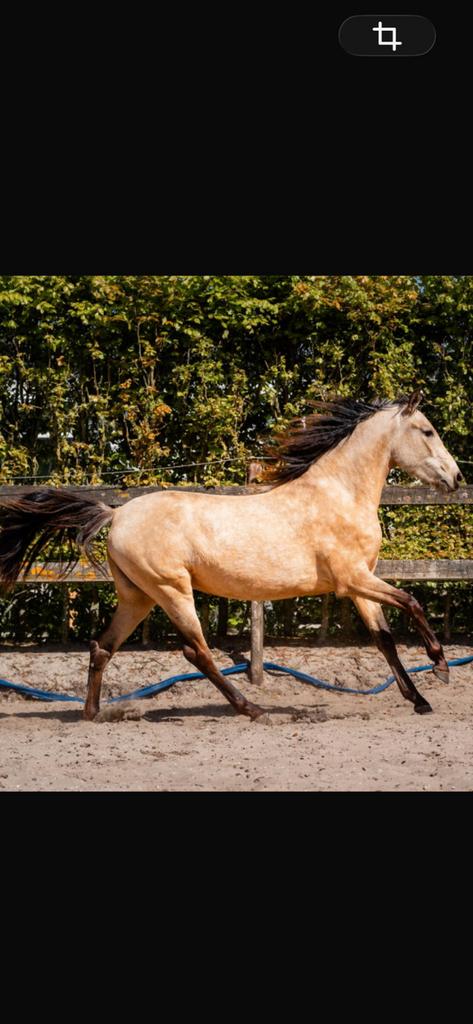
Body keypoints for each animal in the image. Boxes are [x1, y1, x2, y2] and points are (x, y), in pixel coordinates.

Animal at [0, 389, 463, 721]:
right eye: (427, 431)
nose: (456, 478)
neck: (339, 494)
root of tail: (116, 513)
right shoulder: (352, 580)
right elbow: (412, 602)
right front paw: (440, 666)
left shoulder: (362, 583)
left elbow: (384, 639)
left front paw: (419, 700)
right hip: (171, 589)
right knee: (198, 653)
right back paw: (253, 709)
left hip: (138, 596)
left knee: (102, 647)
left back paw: (93, 714)